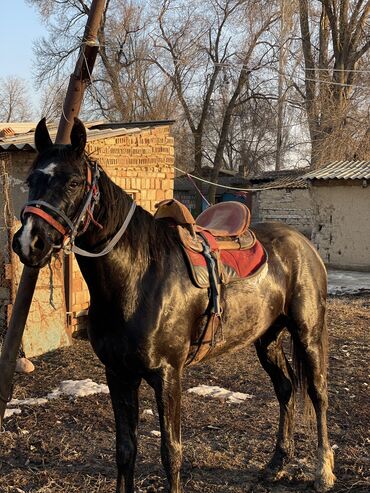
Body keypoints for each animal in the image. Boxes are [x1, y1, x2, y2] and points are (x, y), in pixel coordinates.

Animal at [12, 119, 336, 492]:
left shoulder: (167, 374)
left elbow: (171, 453)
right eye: (31, 180)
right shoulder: (118, 374)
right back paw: (277, 463)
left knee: (317, 393)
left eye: (74, 182)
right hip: (266, 338)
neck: (138, 276)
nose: (29, 242)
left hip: (307, 334)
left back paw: (323, 472)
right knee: (285, 390)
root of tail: (303, 244)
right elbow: (125, 449)